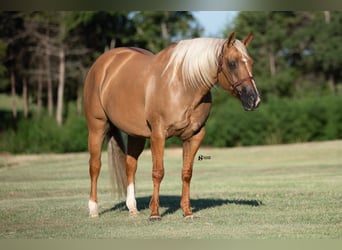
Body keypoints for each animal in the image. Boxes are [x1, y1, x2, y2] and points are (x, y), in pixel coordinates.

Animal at [85, 32, 260, 220]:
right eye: (232, 63)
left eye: (251, 62)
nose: (254, 100)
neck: (183, 85)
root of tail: (103, 63)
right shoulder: (158, 135)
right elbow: (158, 172)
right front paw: (155, 213)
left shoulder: (195, 136)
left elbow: (187, 173)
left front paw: (187, 212)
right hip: (97, 128)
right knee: (95, 166)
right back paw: (93, 209)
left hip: (135, 134)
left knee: (130, 165)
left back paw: (132, 208)